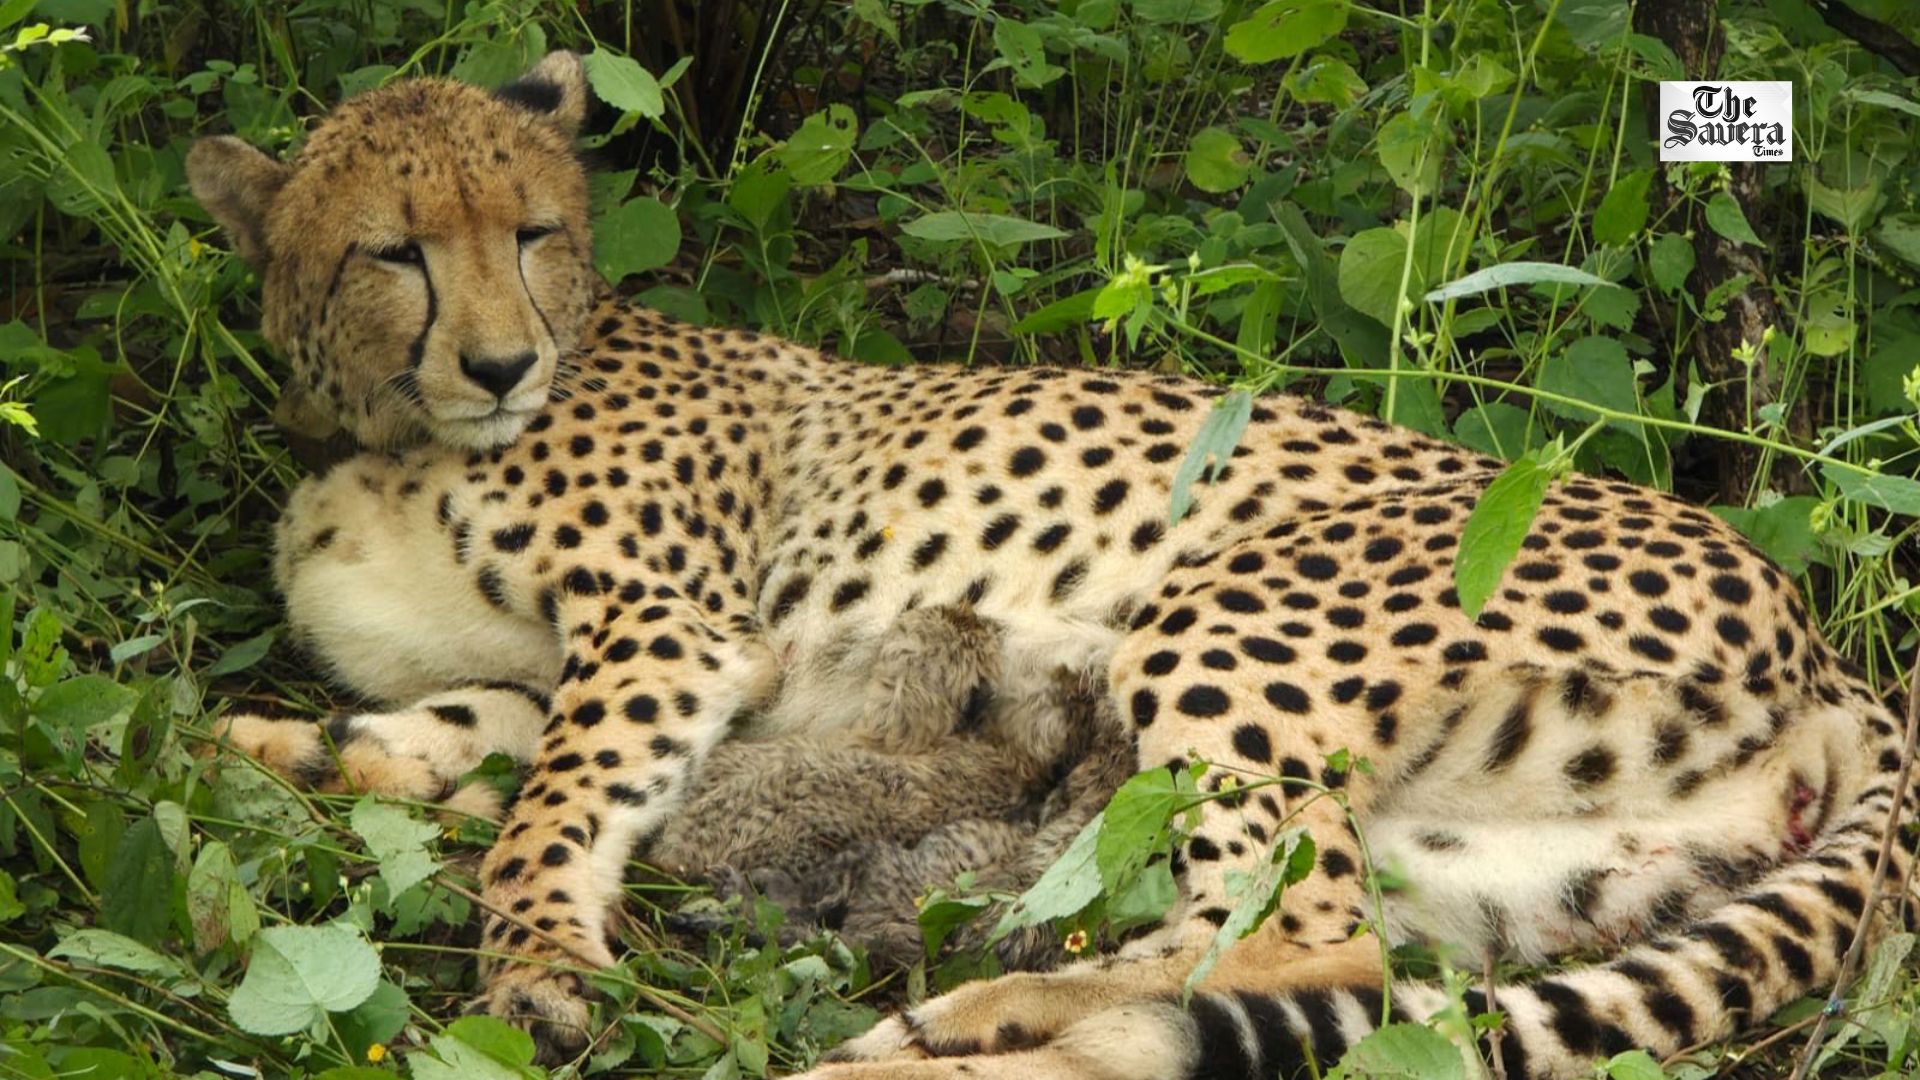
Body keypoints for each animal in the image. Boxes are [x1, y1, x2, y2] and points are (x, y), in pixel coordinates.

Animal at [187, 51, 1916, 1079]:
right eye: (393, 250)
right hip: (1505, 863)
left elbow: (548, 805)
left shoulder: (672, 633)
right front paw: (278, 748)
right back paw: (959, 1028)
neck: (388, 426)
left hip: (1226, 613)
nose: (499, 362)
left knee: (1306, 931)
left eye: (534, 231)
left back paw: (942, 1036)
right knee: (1267, 956)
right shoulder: (581, 667)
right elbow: (455, 739)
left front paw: (534, 962)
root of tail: (1830, 647)